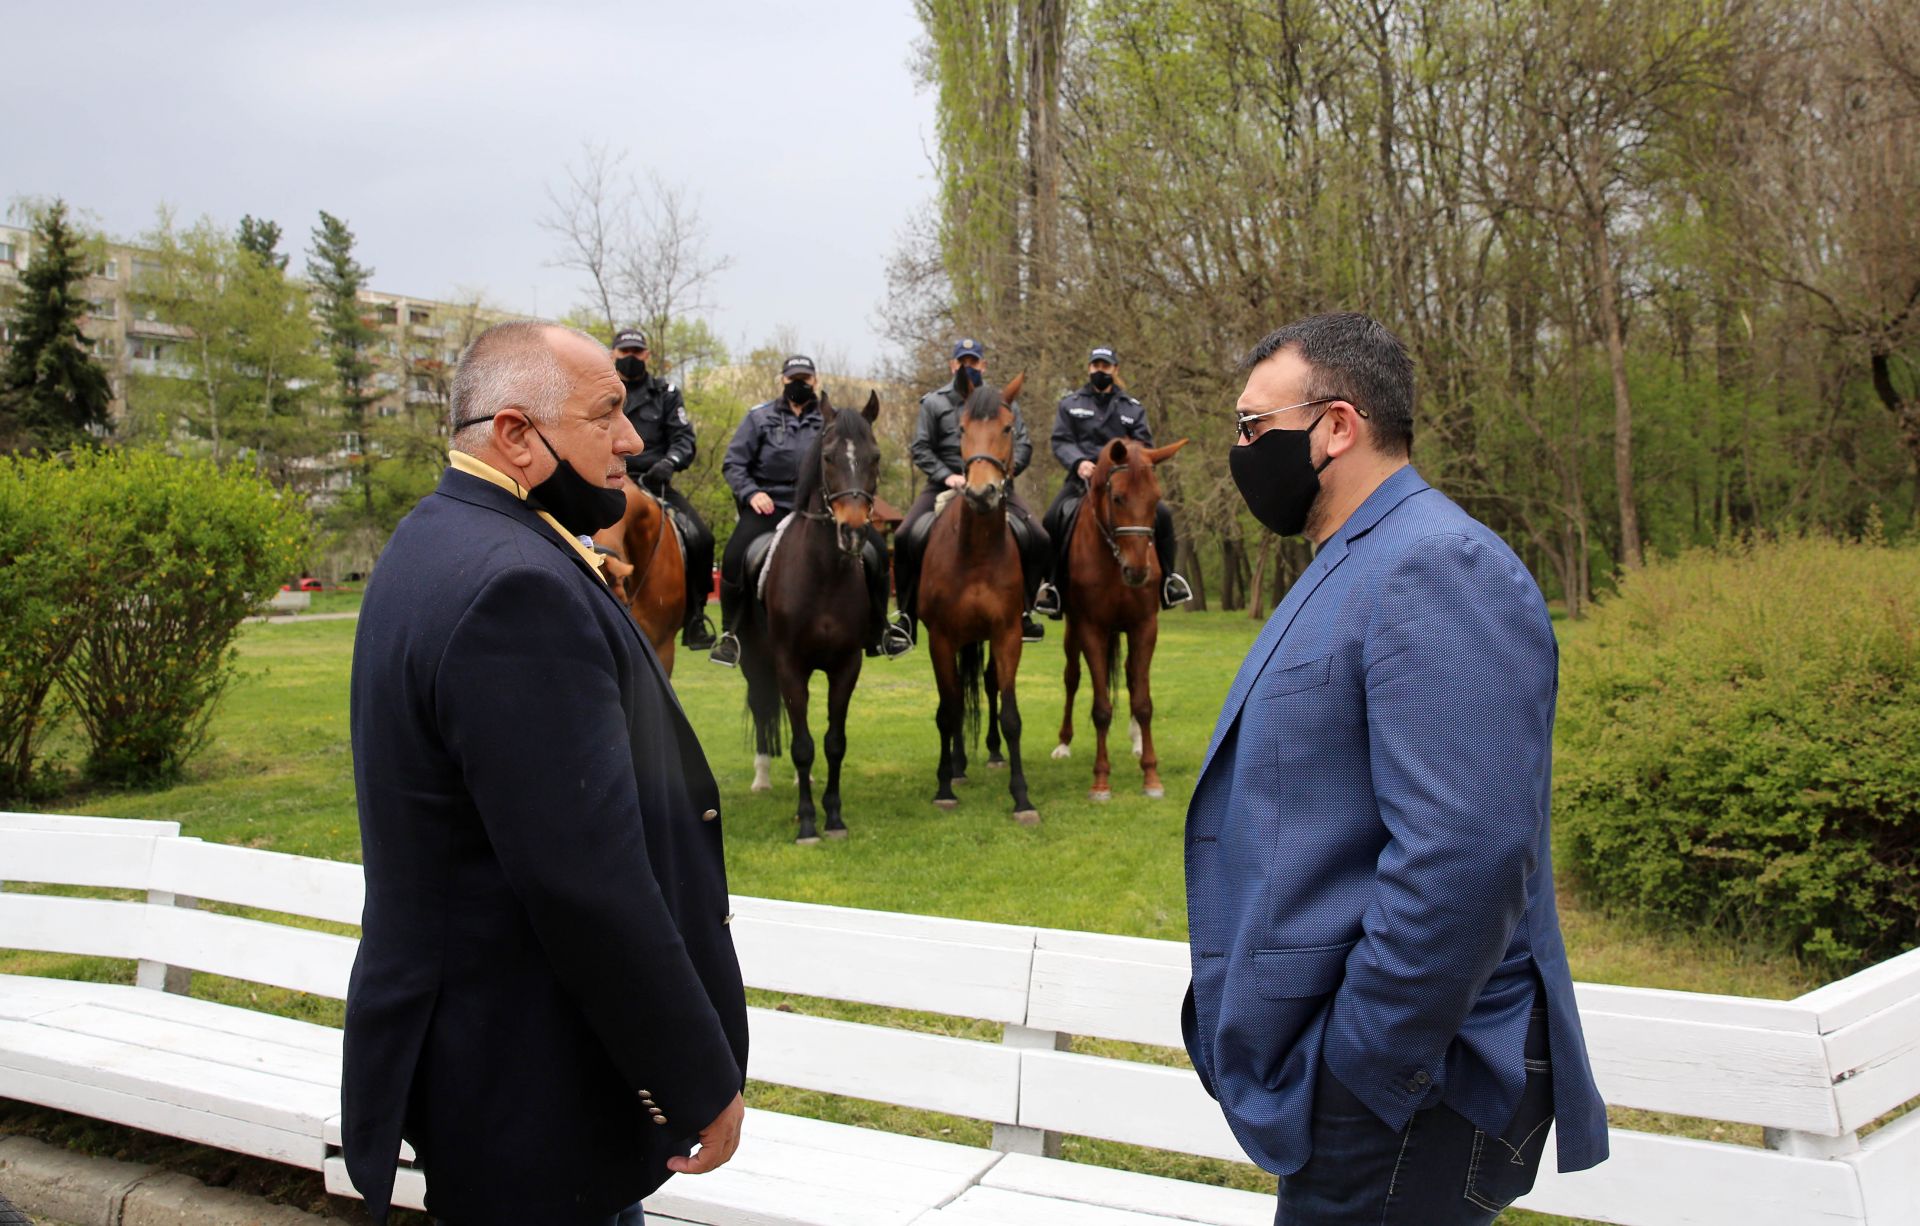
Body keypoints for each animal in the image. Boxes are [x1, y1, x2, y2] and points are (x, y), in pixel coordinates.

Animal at [741, 391, 883, 844]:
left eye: (874, 456)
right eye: (828, 457)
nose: (853, 531)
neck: (823, 576)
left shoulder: (846, 666)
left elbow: (833, 742)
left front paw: (833, 817)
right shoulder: (790, 666)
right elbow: (802, 745)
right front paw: (807, 822)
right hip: (756, 663)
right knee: (764, 710)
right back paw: (762, 778)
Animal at [910, 376, 1036, 825]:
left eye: (1007, 428)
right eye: (960, 429)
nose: (982, 493)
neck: (977, 551)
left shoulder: (1007, 635)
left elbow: (1011, 714)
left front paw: (1022, 798)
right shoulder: (941, 639)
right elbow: (948, 712)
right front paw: (944, 787)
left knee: (986, 685)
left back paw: (992, 755)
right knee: (956, 701)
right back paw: (957, 767)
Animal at [1052, 437, 1182, 801]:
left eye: (1155, 498)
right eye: (1118, 497)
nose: (1137, 571)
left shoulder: (1144, 627)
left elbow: (1143, 701)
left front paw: (1151, 777)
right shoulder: (1091, 629)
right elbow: (1101, 708)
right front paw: (1100, 781)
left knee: (1132, 677)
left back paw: (1137, 741)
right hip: (1072, 631)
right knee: (1071, 678)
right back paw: (1063, 743)